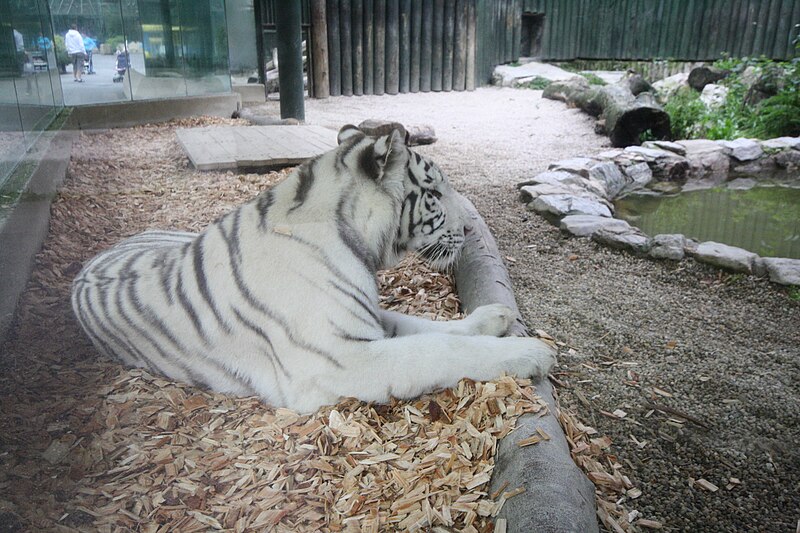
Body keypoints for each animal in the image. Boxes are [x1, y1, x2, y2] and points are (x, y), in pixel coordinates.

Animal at [70, 123, 556, 412]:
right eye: (435, 193)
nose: (472, 229)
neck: (355, 241)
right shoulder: (337, 359)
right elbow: (436, 349)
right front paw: (531, 353)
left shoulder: (367, 320)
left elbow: (433, 328)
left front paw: (496, 316)